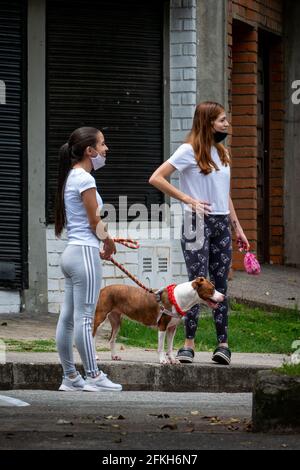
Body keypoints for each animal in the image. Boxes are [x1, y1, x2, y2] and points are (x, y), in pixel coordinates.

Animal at [92, 278, 224, 366]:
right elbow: (161, 346)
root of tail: (103, 289)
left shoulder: (172, 328)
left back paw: (114, 356)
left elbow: (170, 347)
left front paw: (173, 360)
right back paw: (95, 356)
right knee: (92, 337)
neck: (179, 297)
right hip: (100, 318)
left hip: (116, 321)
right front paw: (163, 360)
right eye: (212, 289)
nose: (223, 296)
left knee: (112, 339)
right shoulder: (162, 326)